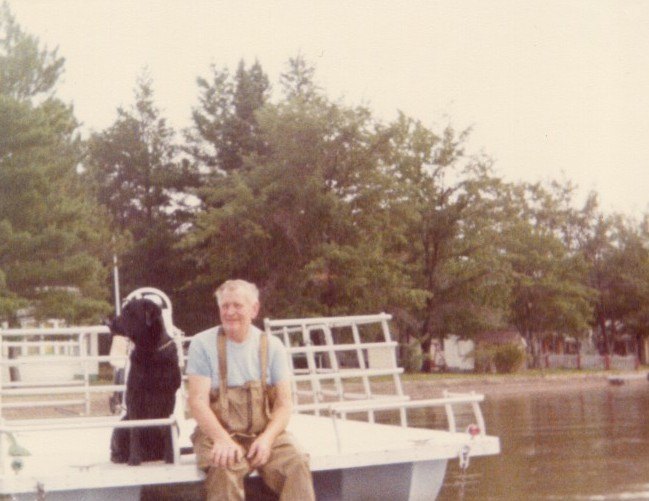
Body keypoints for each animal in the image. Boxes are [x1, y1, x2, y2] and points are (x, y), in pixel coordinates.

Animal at [107, 296, 181, 464]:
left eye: (129, 312)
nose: (108, 322)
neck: (151, 350)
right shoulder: (134, 396)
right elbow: (135, 429)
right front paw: (134, 458)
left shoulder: (169, 396)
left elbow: (168, 429)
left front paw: (170, 457)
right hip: (121, 424)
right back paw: (121, 457)